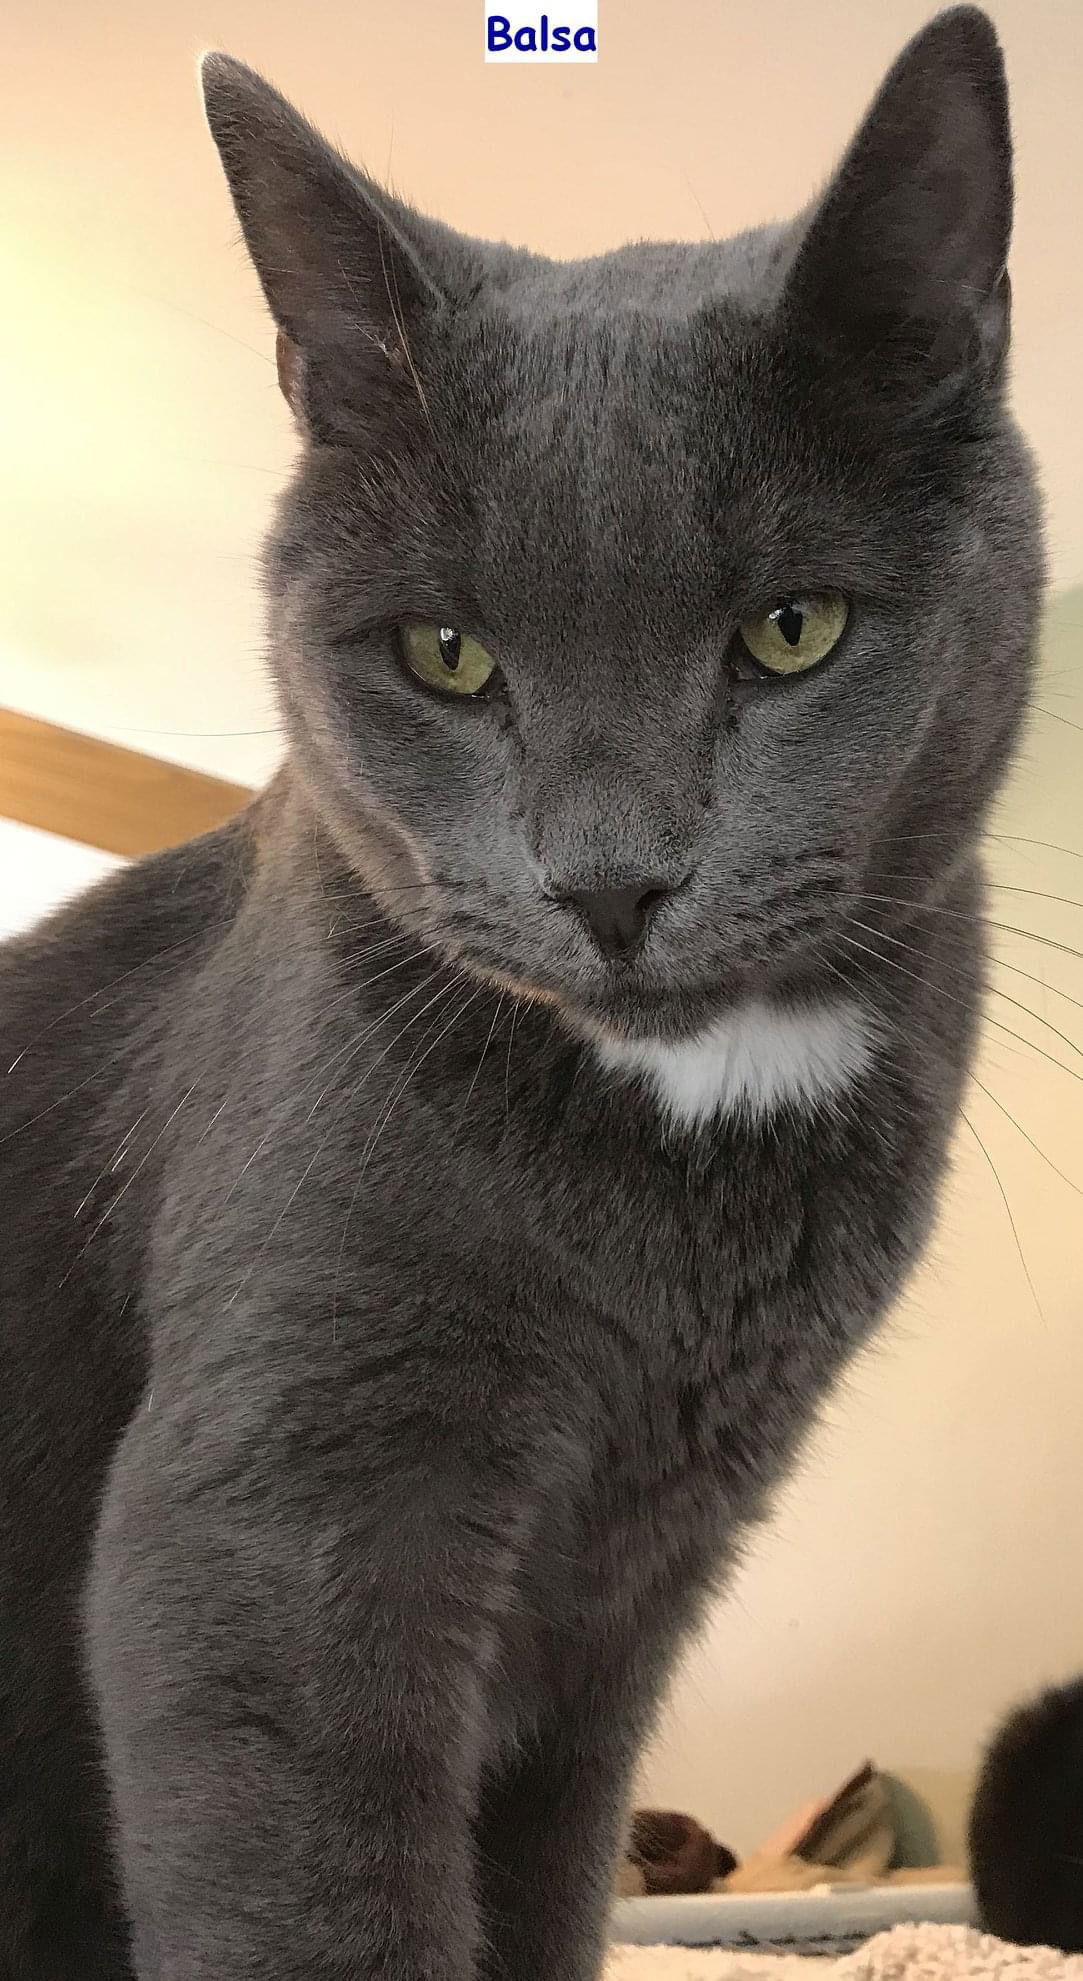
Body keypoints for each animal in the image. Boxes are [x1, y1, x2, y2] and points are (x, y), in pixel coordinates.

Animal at [0, 15, 1045, 1981]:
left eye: (790, 630)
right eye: (444, 653)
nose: (608, 881)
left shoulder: (626, 1589)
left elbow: (549, 1881)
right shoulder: (270, 1522)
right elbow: (320, 1906)